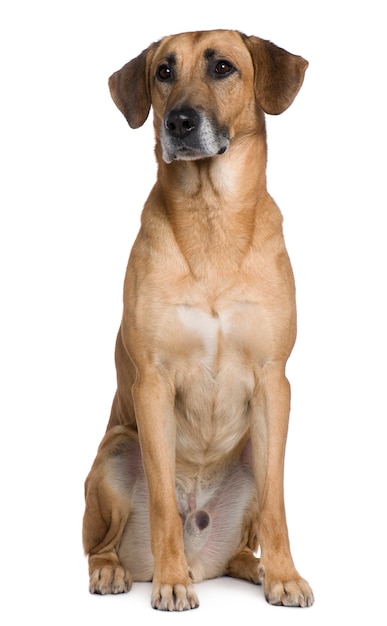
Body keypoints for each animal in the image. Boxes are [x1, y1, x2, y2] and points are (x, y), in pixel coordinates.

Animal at [83, 29, 314, 608]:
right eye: (163, 72)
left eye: (223, 67)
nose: (179, 122)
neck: (212, 221)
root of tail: (202, 560)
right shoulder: (152, 384)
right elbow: (164, 504)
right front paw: (169, 582)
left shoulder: (274, 383)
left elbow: (277, 504)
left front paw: (284, 575)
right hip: (116, 451)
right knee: (99, 545)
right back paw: (116, 571)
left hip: (252, 450)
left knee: (245, 537)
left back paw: (253, 566)